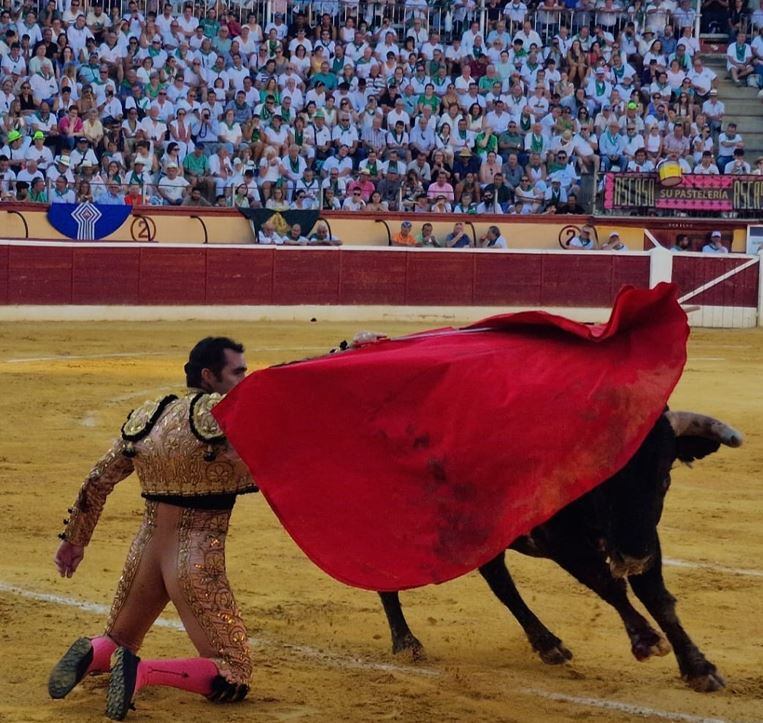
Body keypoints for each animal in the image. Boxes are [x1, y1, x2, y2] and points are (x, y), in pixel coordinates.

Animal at [380, 410, 744, 692]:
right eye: (604, 477)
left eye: (664, 477)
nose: (634, 557)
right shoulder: (560, 540)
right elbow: (609, 584)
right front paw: (645, 640)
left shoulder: (645, 536)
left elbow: (657, 598)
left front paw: (699, 670)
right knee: (387, 579)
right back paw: (406, 643)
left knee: (499, 580)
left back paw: (548, 644)